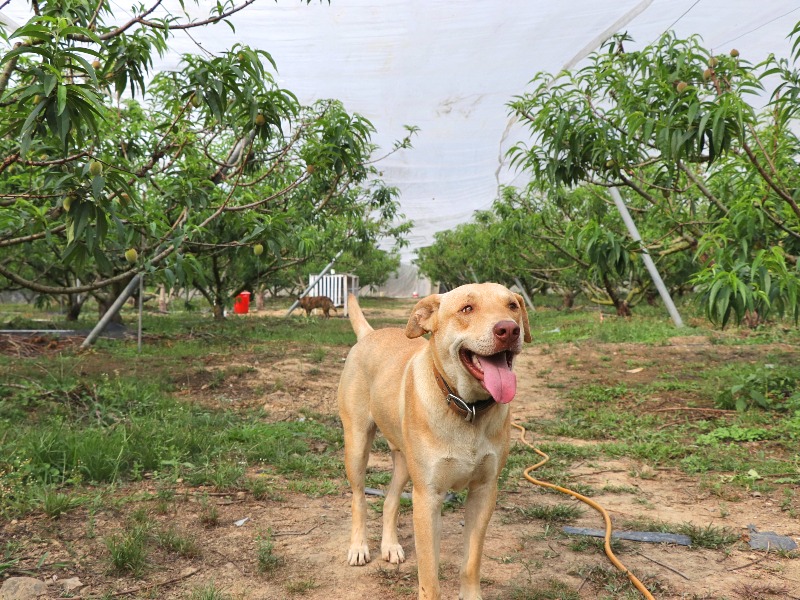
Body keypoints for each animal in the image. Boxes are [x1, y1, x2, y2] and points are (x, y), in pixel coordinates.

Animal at [338, 282, 532, 600]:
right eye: (467, 308)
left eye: (512, 306)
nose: (509, 330)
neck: (467, 408)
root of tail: (370, 334)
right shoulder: (427, 497)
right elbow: (430, 576)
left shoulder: (484, 491)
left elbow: (471, 561)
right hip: (356, 445)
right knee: (359, 499)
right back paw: (358, 547)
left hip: (405, 462)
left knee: (390, 500)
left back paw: (390, 546)